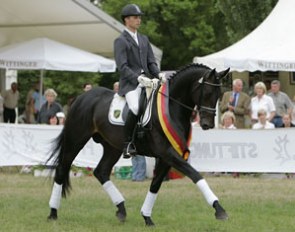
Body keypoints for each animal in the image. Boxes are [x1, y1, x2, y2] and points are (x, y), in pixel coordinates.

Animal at [46, 62, 231, 226]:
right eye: (207, 91)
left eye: (219, 93)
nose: (208, 124)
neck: (172, 107)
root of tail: (81, 97)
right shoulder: (168, 153)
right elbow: (195, 175)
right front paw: (219, 209)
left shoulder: (166, 157)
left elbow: (155, 185)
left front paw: (147, 217)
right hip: (75, 140)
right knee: (62, 169)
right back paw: (53, 213)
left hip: (112, 147)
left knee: (101, 172)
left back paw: (121, 209)